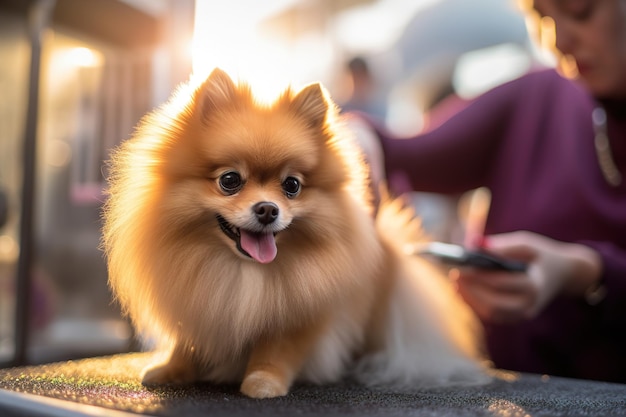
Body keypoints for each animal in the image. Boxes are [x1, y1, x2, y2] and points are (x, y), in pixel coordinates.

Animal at [102, 67, 490, 396]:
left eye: (291, 185)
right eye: (230, 180)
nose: (267, 209)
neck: (241, 273)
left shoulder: (298, 315)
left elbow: (277, 352)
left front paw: (263, 382)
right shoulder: (196, 303)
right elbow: (186, 341)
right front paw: (171, 369)